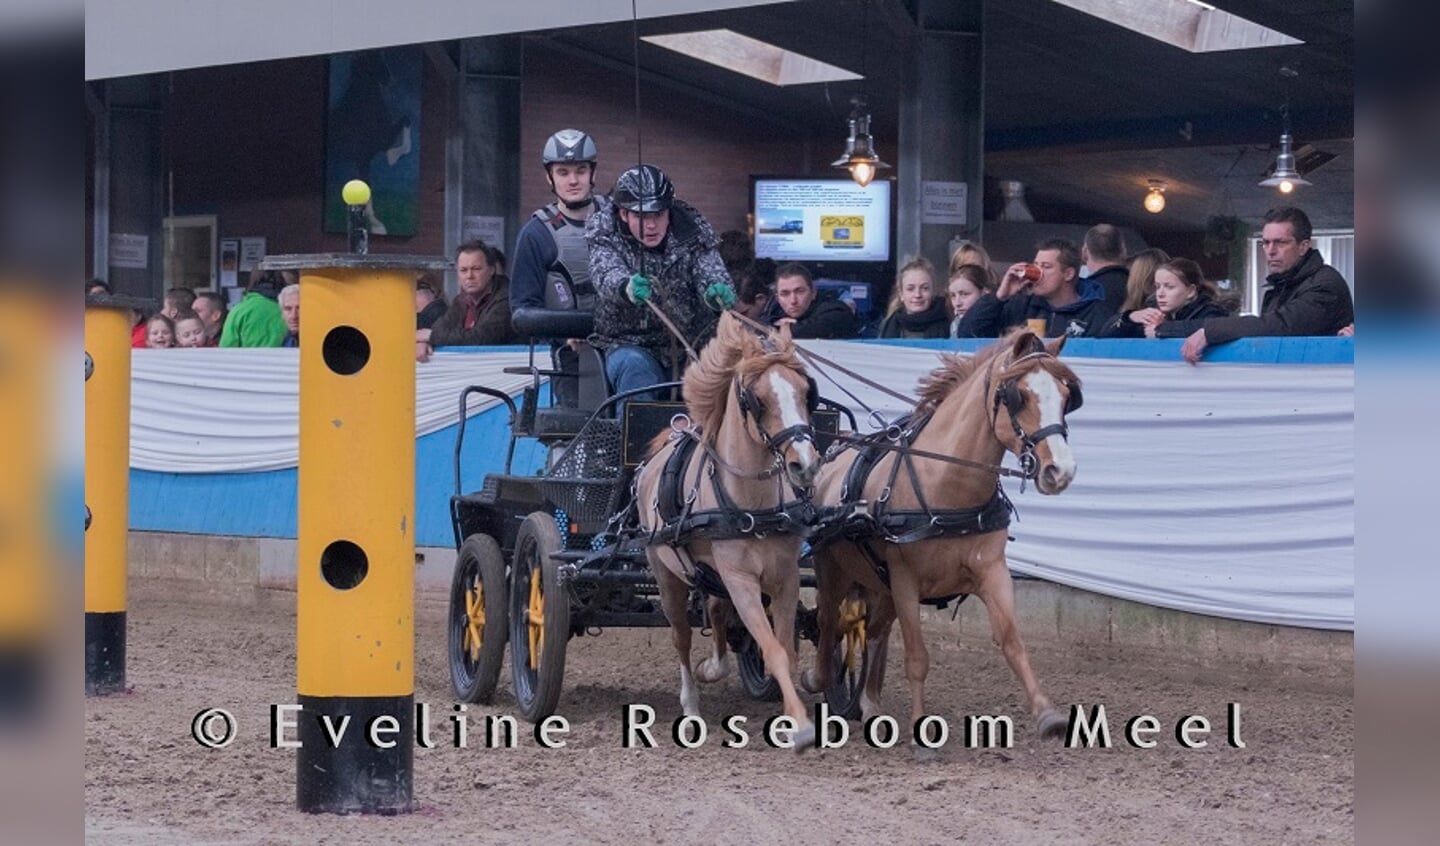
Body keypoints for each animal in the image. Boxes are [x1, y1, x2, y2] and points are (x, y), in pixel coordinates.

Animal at [630, 312, 823, 748]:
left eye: (807, 392)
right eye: (758, 399)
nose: (804, 464)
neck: (755, 504)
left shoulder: (784, 577)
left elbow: (785, 648)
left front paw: (793, 711)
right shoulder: (740, 579)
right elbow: (772, 648)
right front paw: (801, 726)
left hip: (709, 572)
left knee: (716, 612)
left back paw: (713, 668)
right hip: (666, 574)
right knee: (681, 636)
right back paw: (690, 703)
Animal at [800, 326, 1082, 748]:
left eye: (1067, 397)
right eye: (1020, 395)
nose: (1060, 471)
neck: (947, 488)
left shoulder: (991, 572)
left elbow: (1012, 642)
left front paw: (1048, 715)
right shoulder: (905, 580)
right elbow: (917, 657)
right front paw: (921, 732)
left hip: (879, 583)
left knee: (873, 632)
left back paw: (869, 703)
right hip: (834, 570)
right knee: (830, 622)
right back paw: (819, 678)